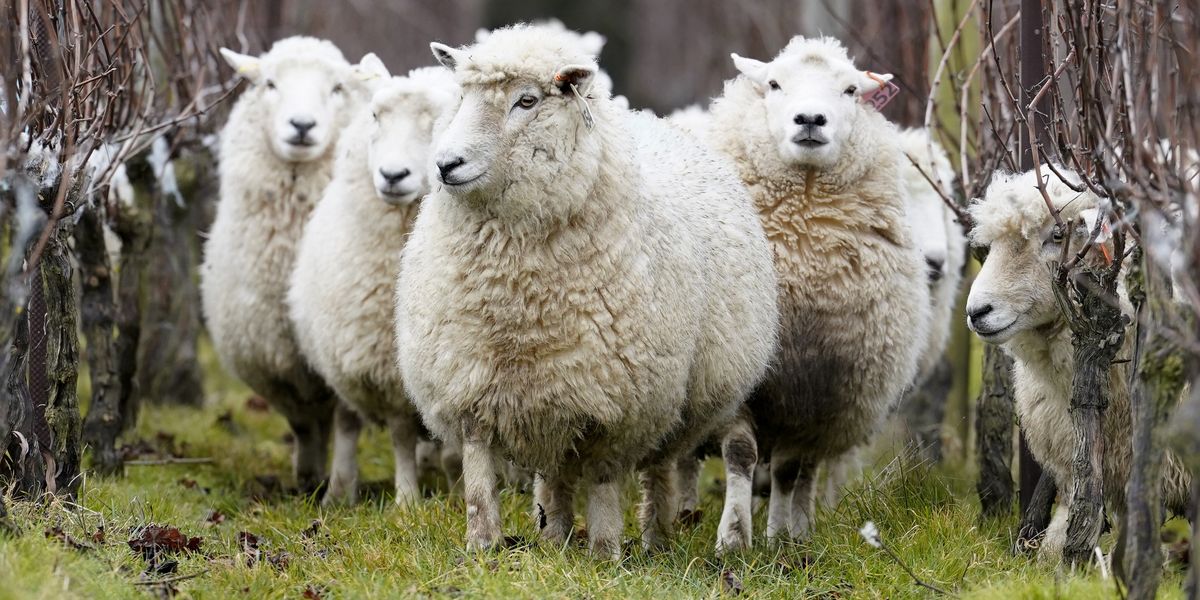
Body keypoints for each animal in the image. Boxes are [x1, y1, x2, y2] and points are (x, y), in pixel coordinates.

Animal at [200, 37, 373, 491]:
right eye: (270, 84)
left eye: (337, 88)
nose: (302, 125)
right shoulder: (272, 358)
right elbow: (301, 424)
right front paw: (307, 479)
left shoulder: (342, 346)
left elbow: (347, 420)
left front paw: (341, 488)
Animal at [287, 65, 459, 505]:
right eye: (376, 117)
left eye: (436, 120)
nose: (393, 175)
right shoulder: (382, 364)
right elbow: (399, 433)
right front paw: (408, 500)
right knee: (347, 420)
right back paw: (339, 491)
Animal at [395, 24, 779, 556]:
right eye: (462, 96)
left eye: (527, 100)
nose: (446, 164)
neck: (518, 296)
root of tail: (654, 122)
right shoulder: (470, 380)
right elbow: (478, 476)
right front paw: (482, 546)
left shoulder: (615, 400)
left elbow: (601, 476)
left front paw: (603, 550)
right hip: (550, 393)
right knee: (555, 472)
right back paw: (553, 534)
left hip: (671, 399)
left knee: (658, 468)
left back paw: (655, 537)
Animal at [702, 36, 931, 542]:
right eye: (773, 83)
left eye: (850, 90)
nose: (810, 119)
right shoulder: (741, 380)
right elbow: (740, 454)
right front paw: (733, 537)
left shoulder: (816, 396)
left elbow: (791, 471)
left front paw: (778, 539)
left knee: (804, 474)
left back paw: (798, 530)